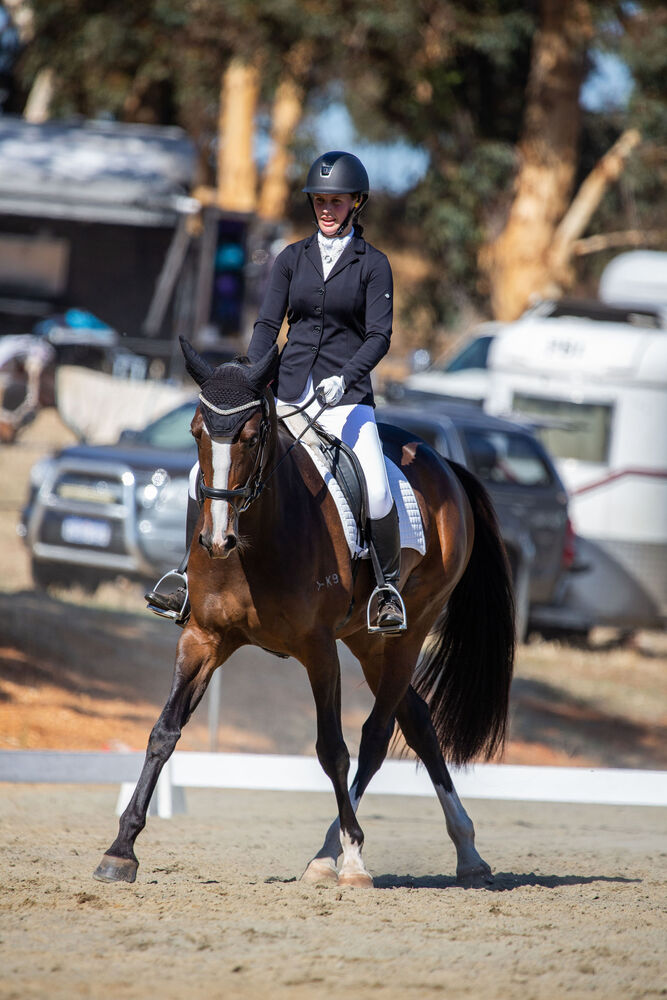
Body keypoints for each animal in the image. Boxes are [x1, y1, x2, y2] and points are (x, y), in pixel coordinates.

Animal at [93, 339, 515, 888]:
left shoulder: (318, 650)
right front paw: (121, 850)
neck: (256, 541)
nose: (216, 540)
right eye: (196, 432)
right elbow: (163, 732)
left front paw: (354, 858)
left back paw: (338, 852)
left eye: (251, 437)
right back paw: (465, 851)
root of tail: (443, 463)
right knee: (417, 720)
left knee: (375, 736)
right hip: (366, 641)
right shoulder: (204, 638)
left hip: (409, 630)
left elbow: (332, 749)